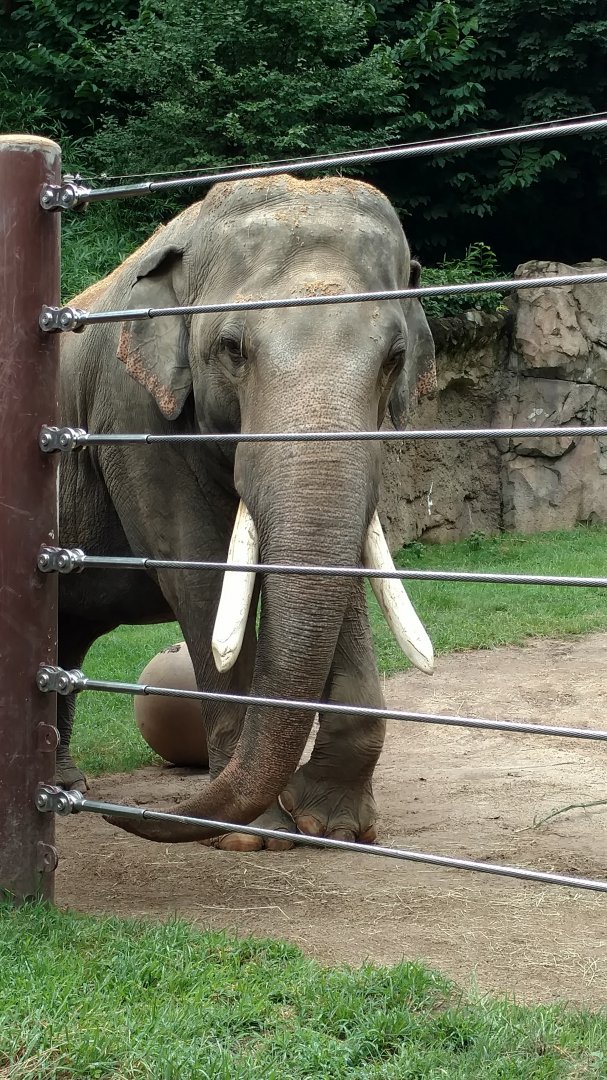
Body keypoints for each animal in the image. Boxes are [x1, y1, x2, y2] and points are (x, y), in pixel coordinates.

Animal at [57, 173, 436, 848]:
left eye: (394, 358)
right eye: (232, 348)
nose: (118, 817)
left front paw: (332, 826)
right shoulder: (131, 415)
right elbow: (199, 574)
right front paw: (250, 835)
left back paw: (67, 786)